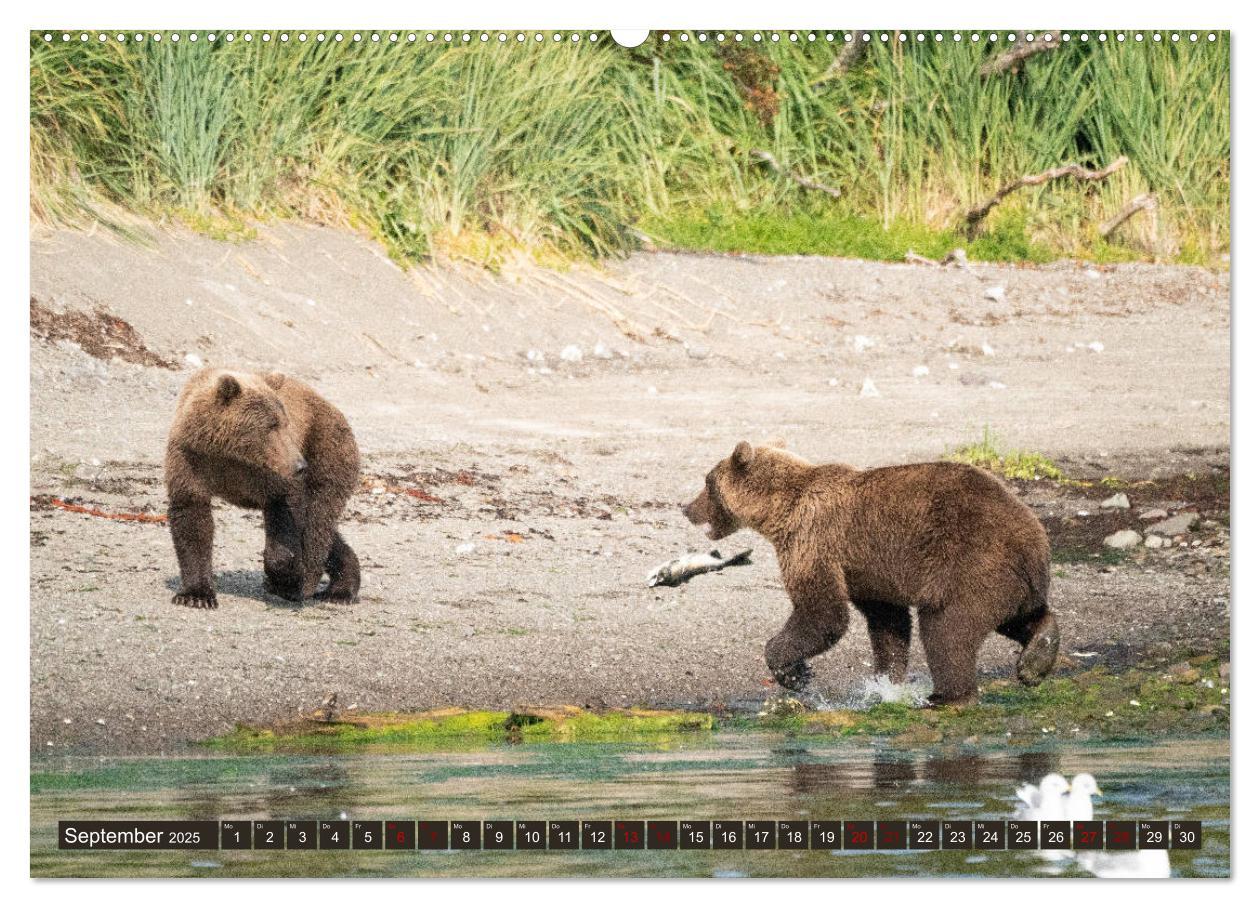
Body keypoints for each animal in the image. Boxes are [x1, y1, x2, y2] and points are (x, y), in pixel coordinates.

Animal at [162, 367, 360, 609]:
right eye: (271, 425)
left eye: (285, 423)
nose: (300, 465)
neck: (228, 453)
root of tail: (335, 410)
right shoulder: (190, 458)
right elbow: (191, 516)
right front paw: (196, 595)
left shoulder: (271, 474)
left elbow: (286, 514)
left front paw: (284, 577)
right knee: (326, 532)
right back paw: (341, 584)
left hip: (327, 451)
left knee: (317, 523)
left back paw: (309, 587)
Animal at [685, 443, 1058, 705]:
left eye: (707, 482)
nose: (686, 507)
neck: (780, 511)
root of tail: (1034, 542)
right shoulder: (866, 570)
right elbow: (887, 621)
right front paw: (886, 682)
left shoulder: (813, 541)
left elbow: (822, 614)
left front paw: (793, 672)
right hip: (1009, 580)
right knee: (1016, 616)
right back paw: (1037, 657)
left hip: (970, 562)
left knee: (947, 629)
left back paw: (948, 696)